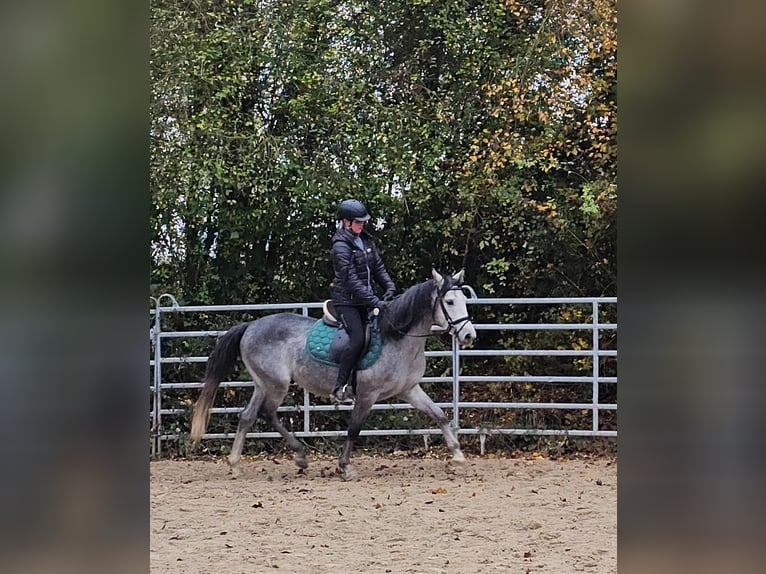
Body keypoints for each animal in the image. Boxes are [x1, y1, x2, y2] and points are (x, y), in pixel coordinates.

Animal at [191, 270, 476, 482]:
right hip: (276, 384)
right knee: (267, 413)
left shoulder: (409, 389)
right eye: (449, 302)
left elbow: (439, 415)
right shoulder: (367, 395)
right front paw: (345, 466)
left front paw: (458, 456)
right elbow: (354, 429)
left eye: (464, 301)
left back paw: (235, 464)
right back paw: (300, 456)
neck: (396, 338)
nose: (469, 336)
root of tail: (251, 326)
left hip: (263, 384)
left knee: (247, 416)